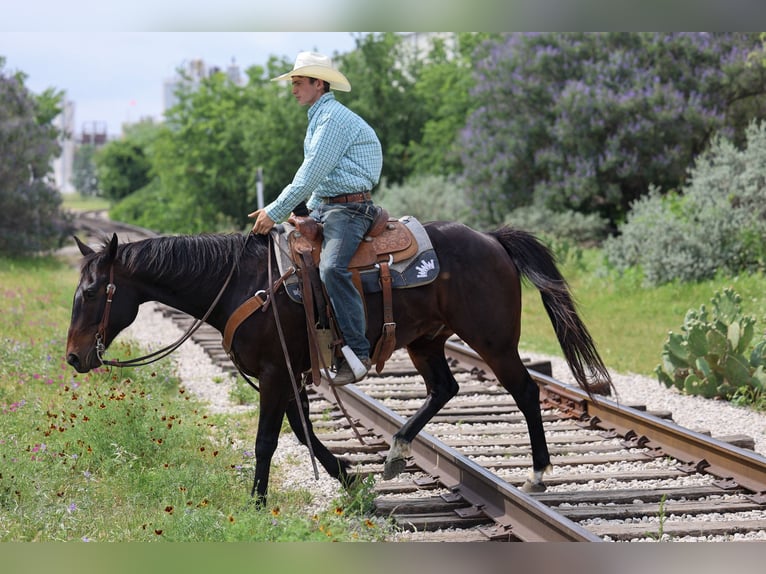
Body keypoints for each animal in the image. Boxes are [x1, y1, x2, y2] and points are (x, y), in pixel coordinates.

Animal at [65, 222, 612, 503]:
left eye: (91, 291)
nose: (73, 356)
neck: (243, 283)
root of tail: (494, 239)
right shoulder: (288, 373)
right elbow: (303, 430)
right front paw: (348, 475)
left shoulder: (274, 373)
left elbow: (268, 439)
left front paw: (257, 502)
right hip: (427, 342)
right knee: (444, 389)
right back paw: (394, 454)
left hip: (493, 341)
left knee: (525, 390)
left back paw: (537, 474)